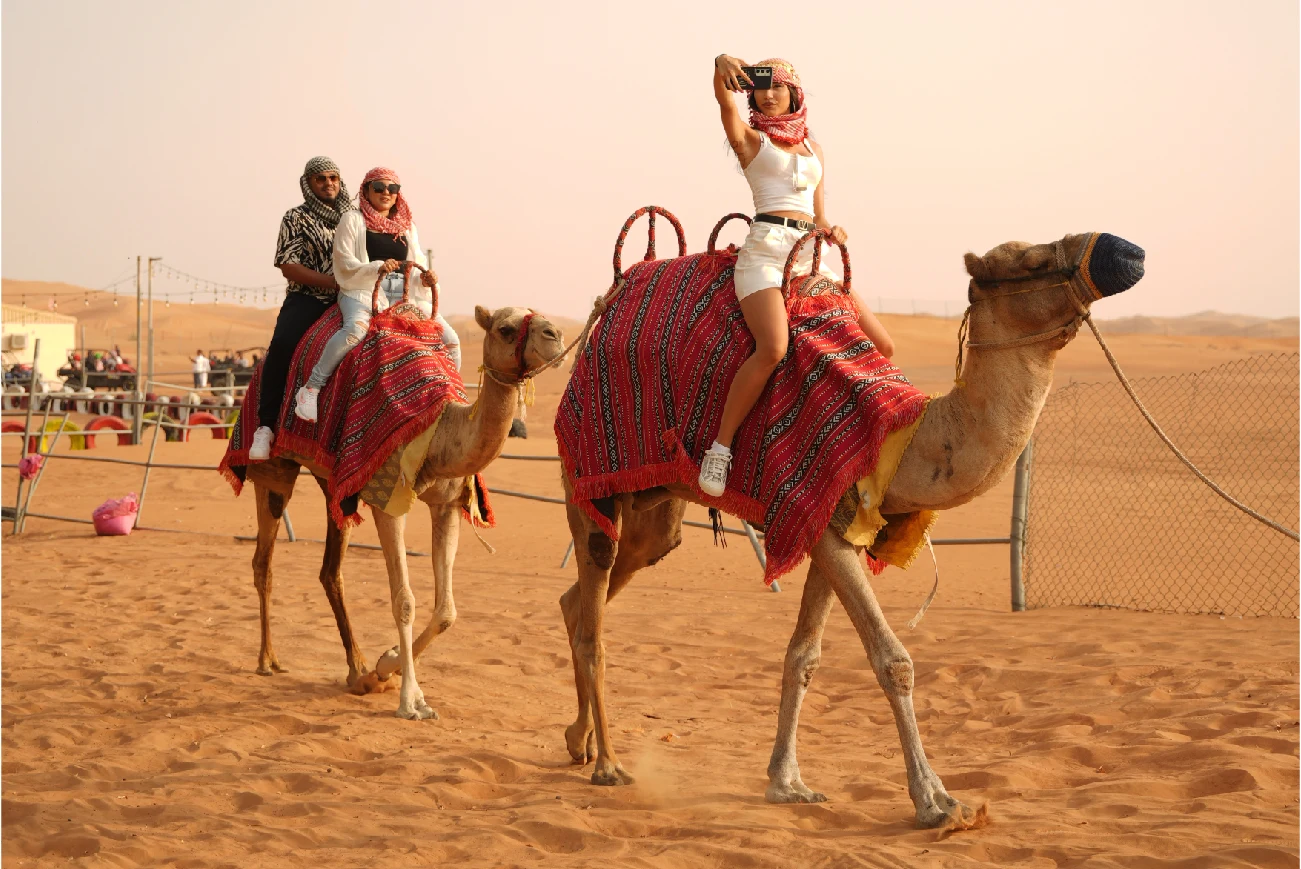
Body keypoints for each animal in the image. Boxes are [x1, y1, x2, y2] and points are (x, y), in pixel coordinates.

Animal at [247, 305, 565, 720]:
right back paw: (268, 659)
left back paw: (357, 670)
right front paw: (411, 699)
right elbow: (404, 600)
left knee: (330, 571)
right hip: (275, 469)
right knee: (264, 560)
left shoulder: (447, 505)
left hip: (335, 486)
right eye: (506, 329)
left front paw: (384, 667)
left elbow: (446, 611)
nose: (555, 335)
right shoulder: (388, 500)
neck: (440, 429)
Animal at [558, 231, 1145, 827]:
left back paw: (579, 739)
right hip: (589, 475)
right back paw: (608, 765)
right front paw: (936, 801)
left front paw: (787, 783)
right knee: (594, 617)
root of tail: (602, 313)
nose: (1128, 252)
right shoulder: (816, 512)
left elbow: (804, 655)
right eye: (1030, 260)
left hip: (654, 509)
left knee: (584, 595)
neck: (895, 436)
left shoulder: (831, 524)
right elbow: (893, 661)